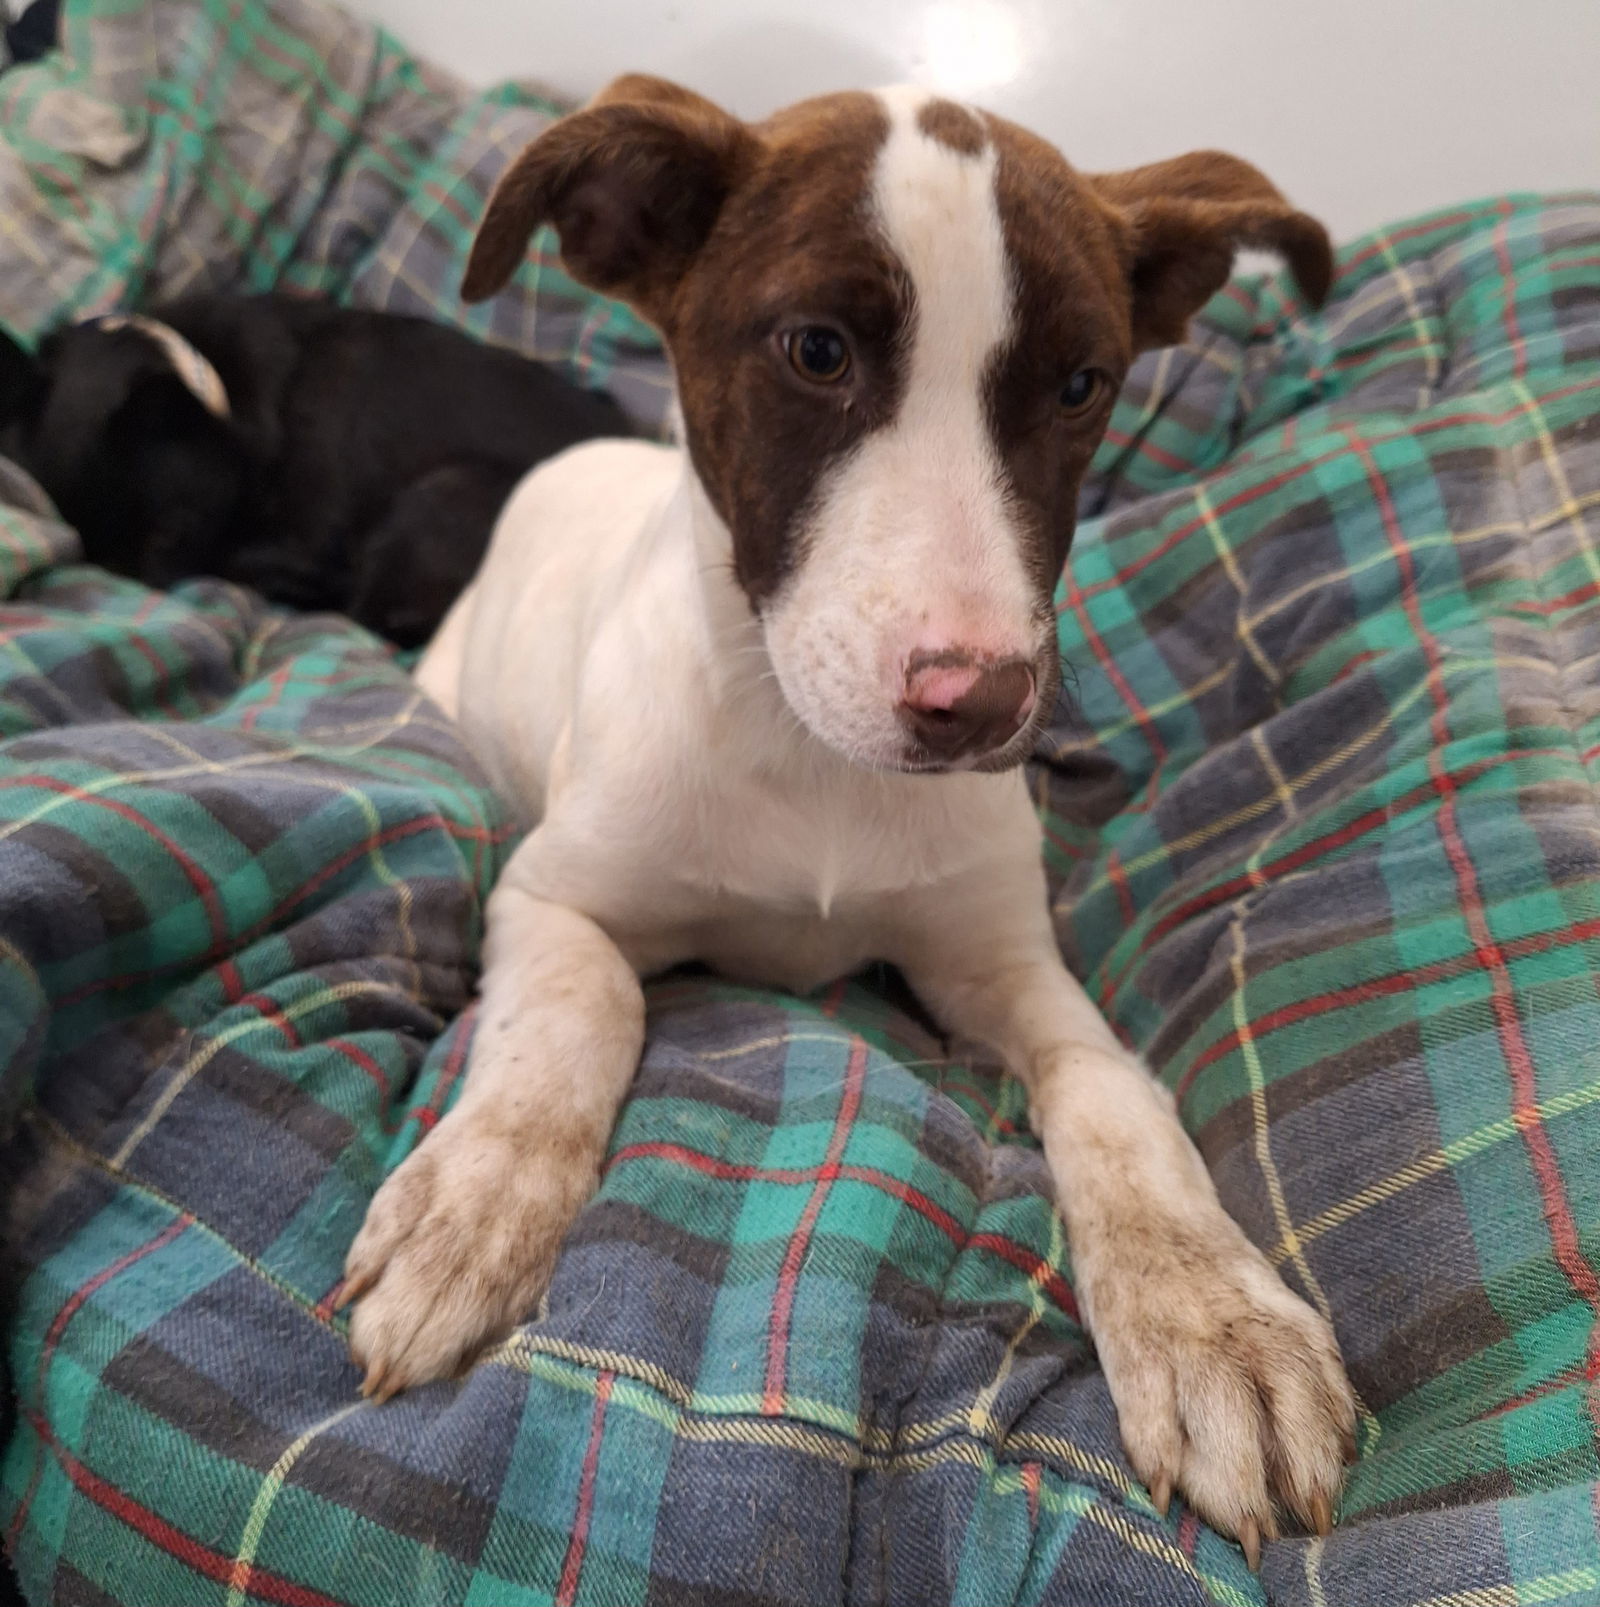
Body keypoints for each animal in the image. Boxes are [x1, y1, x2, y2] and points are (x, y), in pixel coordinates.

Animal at [0, 295, 632, 646]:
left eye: (169, 533)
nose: (143, 584)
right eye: (99, 556)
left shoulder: (296, 538)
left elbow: (240, 556)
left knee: (362, 615)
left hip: (444, 493)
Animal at [343, 78, 1355, 1568]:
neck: (803, 755)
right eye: (815, 351)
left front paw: (1211, 1318)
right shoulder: (551, 893)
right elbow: (583, 1010)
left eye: (1080, 384)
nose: (979, 703)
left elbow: (1111, 1087)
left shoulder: (1000, 957)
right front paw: (470, 1206)